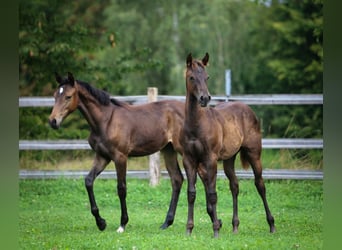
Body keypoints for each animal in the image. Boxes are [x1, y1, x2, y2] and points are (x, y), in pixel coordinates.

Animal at [182, 53, 276, 237]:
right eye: (191, 77)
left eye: (207, 77)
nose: (205, 98)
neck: (196, 125)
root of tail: (247, 108)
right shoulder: (189, 160)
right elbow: (191, 193)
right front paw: (189, 229)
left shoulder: (210, 160)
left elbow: (212, 194)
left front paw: (216, 231)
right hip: (229, 159)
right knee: (235, 186)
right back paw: (235, 226)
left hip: (254, 154)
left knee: (260, 185)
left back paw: (271, 225)